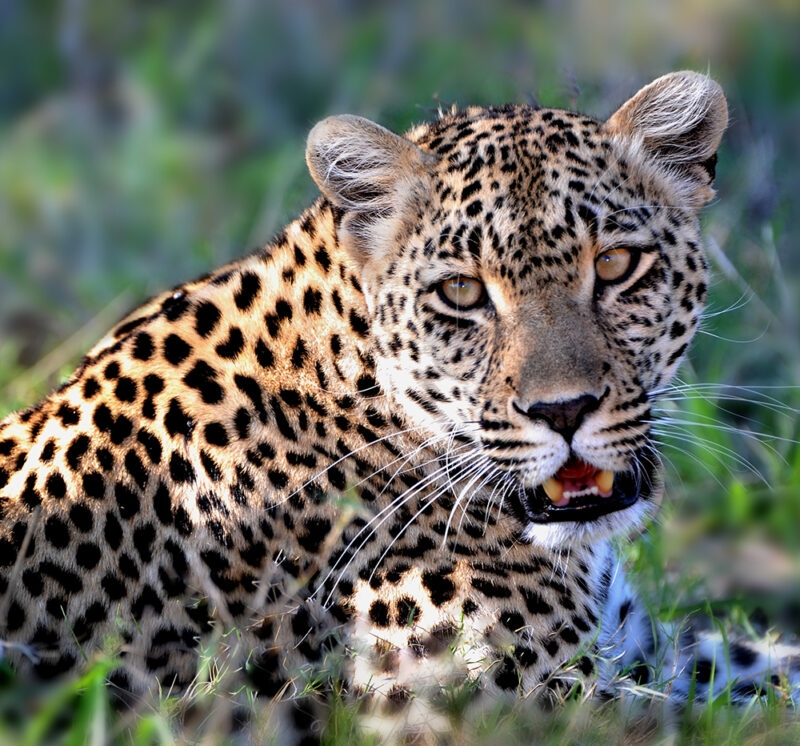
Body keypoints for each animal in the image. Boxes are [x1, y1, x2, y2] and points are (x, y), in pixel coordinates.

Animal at [0, 71, 797, 742]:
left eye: (616, 264)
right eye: (462, 292)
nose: (565, 411)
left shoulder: (635, 647)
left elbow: (767, 668)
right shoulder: (495, 705)